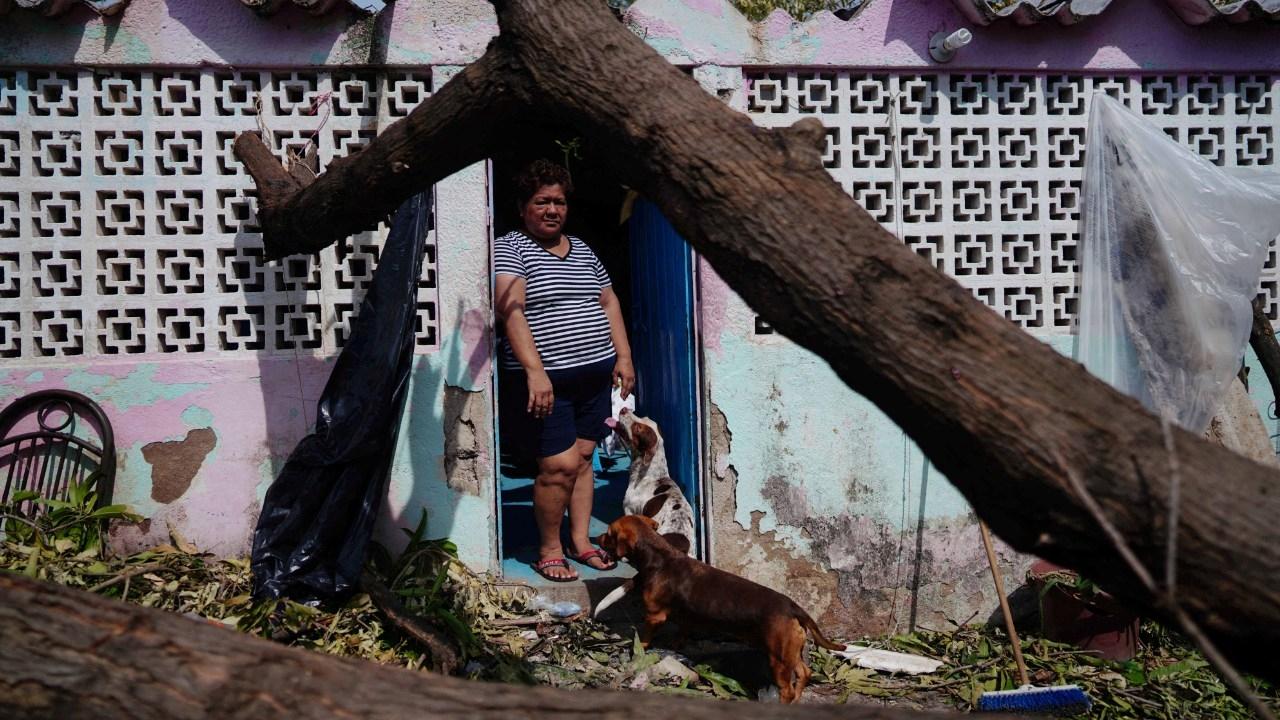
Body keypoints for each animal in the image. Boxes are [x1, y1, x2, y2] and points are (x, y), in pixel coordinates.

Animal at [593, 512, 844, 702]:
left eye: (609, 533)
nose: (596, 538)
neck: (659, 555)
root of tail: (793, 607)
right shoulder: (684, 613)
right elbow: (682, 629)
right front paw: (676, 644)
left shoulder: (655, 616)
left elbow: (645, 640)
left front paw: (639, 651)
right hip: (791, 652)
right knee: (804, 673)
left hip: (779, 659)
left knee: (787, 689)